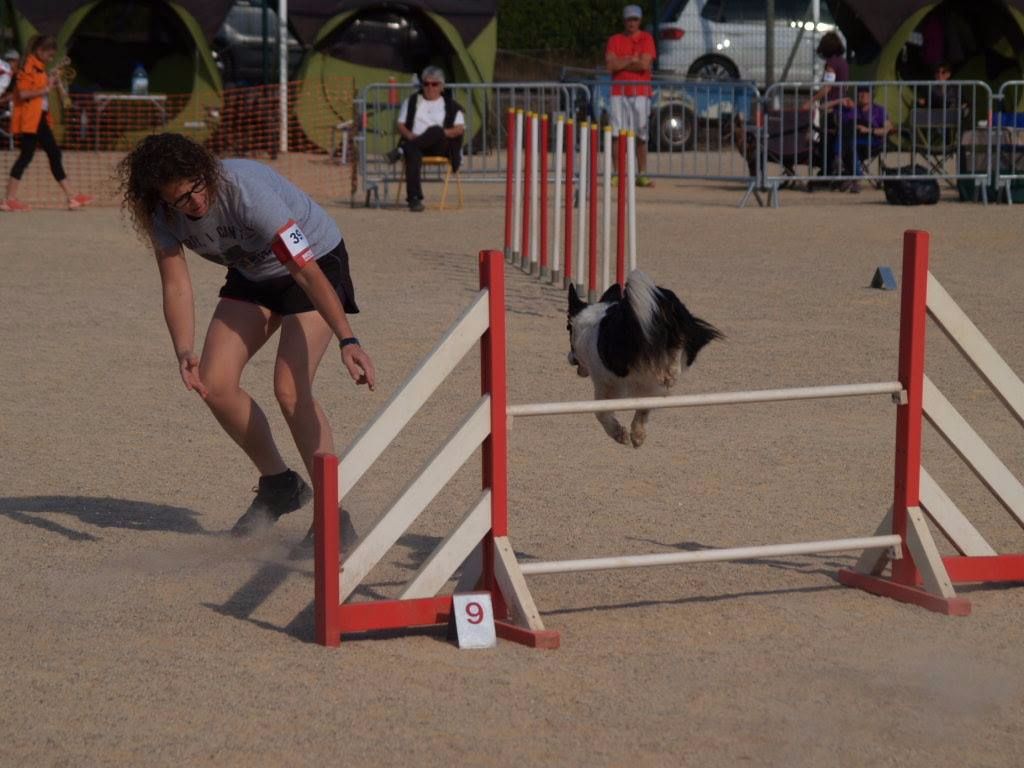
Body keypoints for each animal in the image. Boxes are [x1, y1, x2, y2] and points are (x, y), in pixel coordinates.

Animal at [569, 272, 720, 448]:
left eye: (568, 329)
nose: (570, 358)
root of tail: (660, 302)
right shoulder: (648, 386)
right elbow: (643, 407)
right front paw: (637, 435)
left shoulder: (607, 383)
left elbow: (601, 412)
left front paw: (619, 434)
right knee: (679, 343)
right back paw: (671, 372)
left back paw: (670, 371)